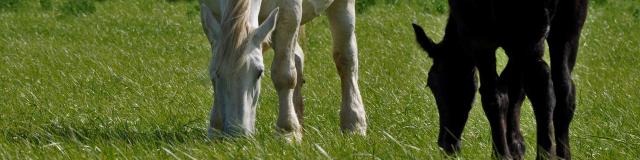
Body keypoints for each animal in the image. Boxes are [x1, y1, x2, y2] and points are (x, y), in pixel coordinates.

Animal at [200, 0, 368, 142]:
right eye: (214, 76)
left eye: (259, 73)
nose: (237, 135)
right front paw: (215, 128)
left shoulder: (289, 13)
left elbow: (284, 75)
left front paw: (287, 131)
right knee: (298, 59)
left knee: (346, 60)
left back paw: (354, 124)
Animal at [412, 0, 588, 159]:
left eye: (433, 84)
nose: (446, 145)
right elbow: (513, 88)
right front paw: (516, 146)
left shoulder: (478, 38)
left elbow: (496, 96)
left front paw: (503, 153)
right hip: (567, 28)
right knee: (564, 89)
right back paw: (562, 154)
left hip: (526, 30)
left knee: (538, 87)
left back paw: (541, 154)